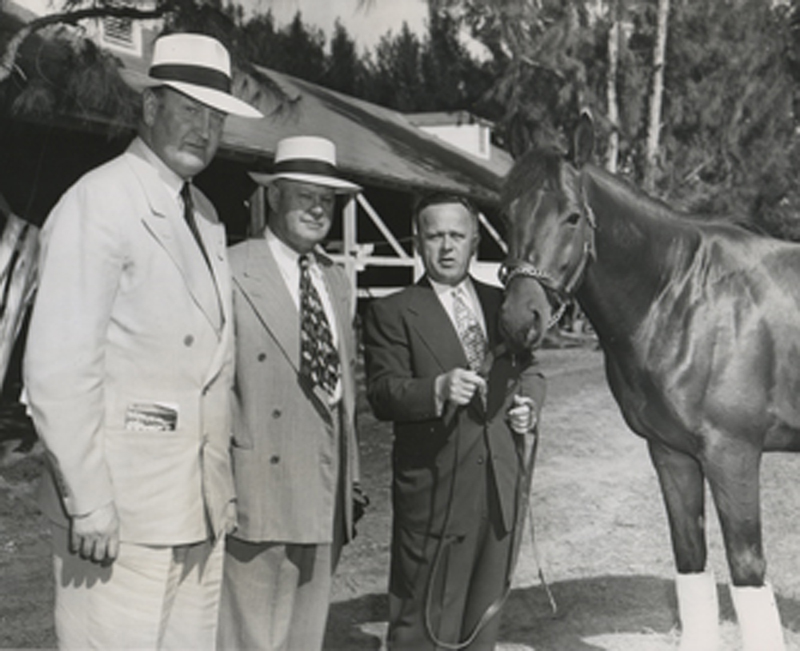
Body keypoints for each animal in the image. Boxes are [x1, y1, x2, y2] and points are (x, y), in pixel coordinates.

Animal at [496, 113, 796, 651]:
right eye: (505, 215)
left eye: (572, 216)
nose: (518, 318)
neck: (686, 296)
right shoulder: (671, 453)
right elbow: (691, 563)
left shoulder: (734, 455)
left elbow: (747, 572)